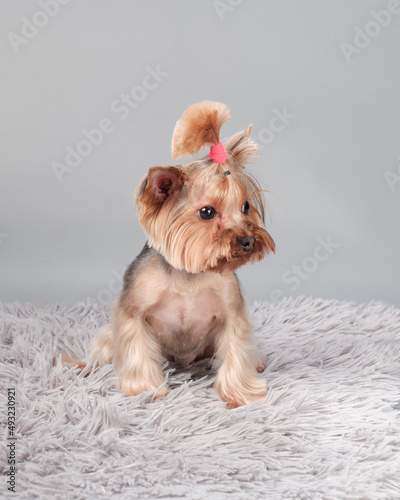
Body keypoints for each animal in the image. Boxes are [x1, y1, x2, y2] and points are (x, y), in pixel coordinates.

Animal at [65, 102, 276, 410]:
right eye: (207, 212)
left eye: (246, 206)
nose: (248, 240)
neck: (189, 275)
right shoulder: (133, 312)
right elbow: (136, 348)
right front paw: (145, 390)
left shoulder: (232, 313)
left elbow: (236, 351)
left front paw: (240, 393)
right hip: (107, 336)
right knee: (102, 350)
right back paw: (85, 365)